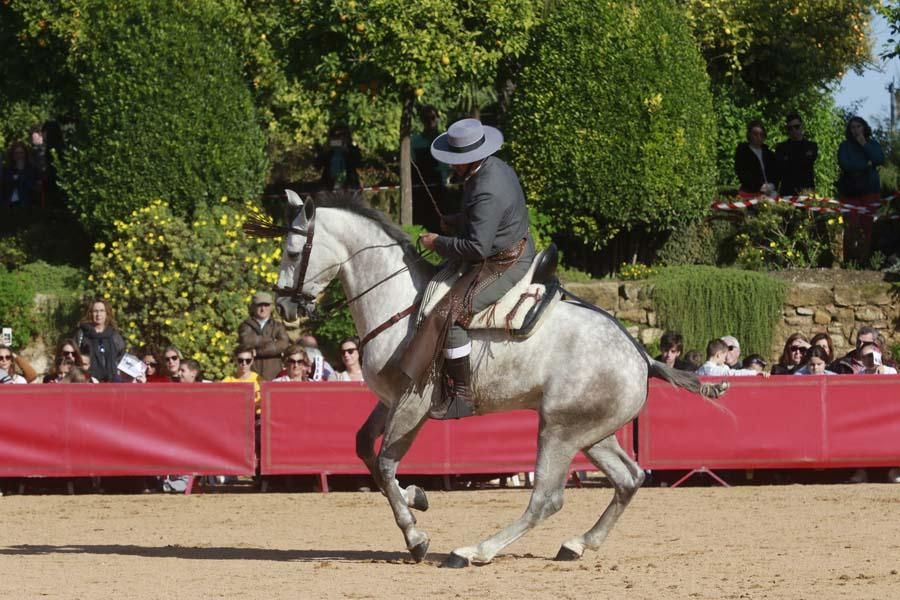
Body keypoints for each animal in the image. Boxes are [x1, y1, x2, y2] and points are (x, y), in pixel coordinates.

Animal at [258, 191, 724, 568]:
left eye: (293, 252)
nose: (283, 306)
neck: (400, 305)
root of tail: (640, 354)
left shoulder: (412, 405)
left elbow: (387, 465)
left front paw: (416, 535)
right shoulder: (389, 401)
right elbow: (366, 453)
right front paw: (417, 497)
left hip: (557, 431)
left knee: (546, 500)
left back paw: (474, 551)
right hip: (591, 433)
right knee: (629, 478)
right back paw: (577, 544)